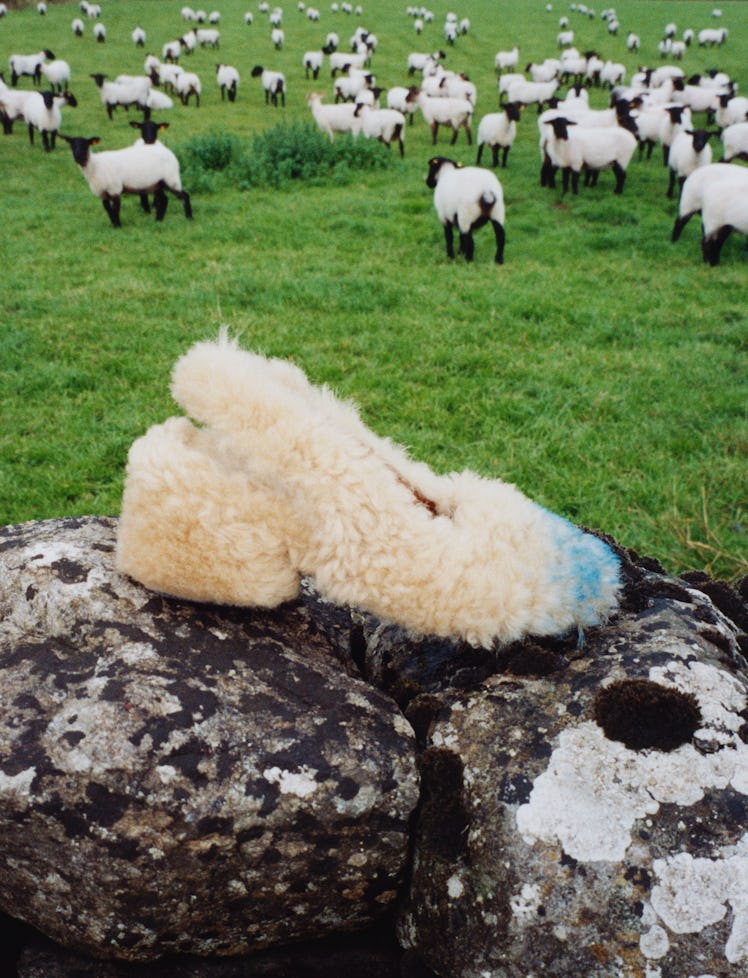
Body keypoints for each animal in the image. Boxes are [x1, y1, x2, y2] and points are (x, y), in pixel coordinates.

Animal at [60, 121, 192, 228]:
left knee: (185, 196)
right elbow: (108, 210)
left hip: (171, 178)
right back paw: (158, 220)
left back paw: (189, 218)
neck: (95, 165)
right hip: (157, 183)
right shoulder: (102, 193)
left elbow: (115, 209)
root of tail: (169, 151)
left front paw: (118, 226)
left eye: (85, 145)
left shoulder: (115, 189)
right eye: (72, 145)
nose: (78, 157)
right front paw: (113, 225)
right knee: (164, 200)